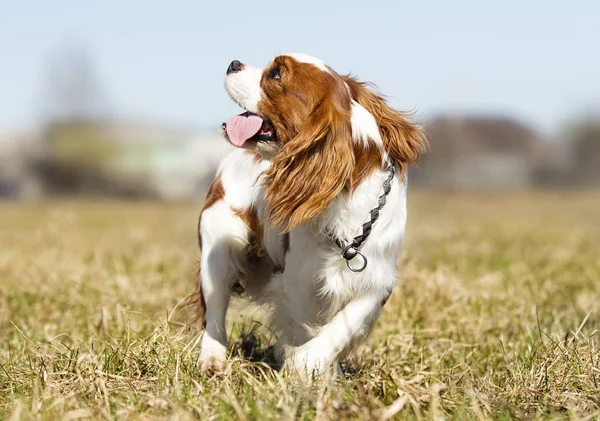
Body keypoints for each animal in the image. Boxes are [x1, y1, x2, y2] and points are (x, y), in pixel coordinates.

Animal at [195, 53, 424, 378]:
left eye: (276, 74)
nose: (234, 63)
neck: (343, 201)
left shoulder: (377, 278)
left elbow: (346, 323)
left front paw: (314, 364)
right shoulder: (297, 281)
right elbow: (304, 325)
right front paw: (303, 366)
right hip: (218, 247)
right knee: (215, 310)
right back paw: (212, 359)